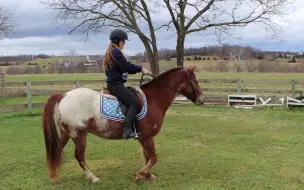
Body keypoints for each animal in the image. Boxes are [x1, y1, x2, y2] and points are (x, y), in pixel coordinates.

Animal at [42, 64, 204, 183]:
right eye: (195, 81)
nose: (202, 99)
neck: (153, 100)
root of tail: (63, 95)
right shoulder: (146, 137)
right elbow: (153, 158)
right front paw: (140, 174)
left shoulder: (145, 138)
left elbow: (147, 157)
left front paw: (147, 176)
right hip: (79, 134)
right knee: (79, 156)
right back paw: (93, 177)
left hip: (66, 133)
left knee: (57, 151)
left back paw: (54, 177)